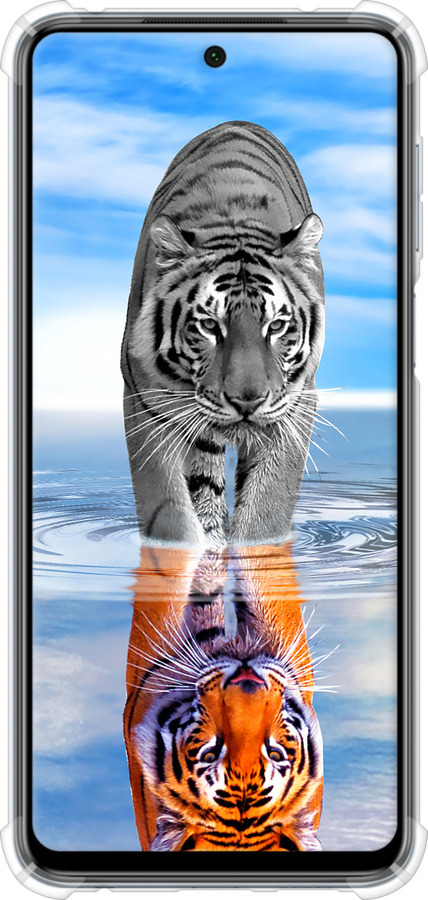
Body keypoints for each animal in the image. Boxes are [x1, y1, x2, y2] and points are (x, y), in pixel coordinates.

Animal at [121, 121, 325, 548]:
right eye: (209, 326)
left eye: (276, 326)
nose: (247, 401)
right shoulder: (145, 401)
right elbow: (169, 511)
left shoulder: (296, 404)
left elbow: (267, 509)